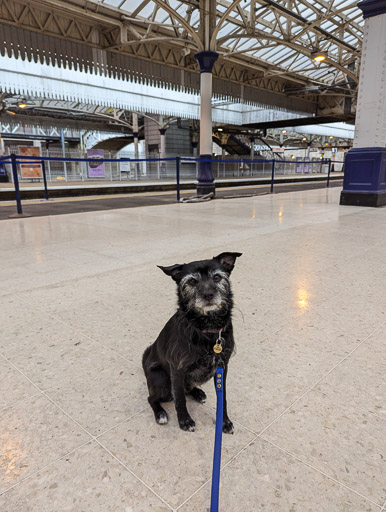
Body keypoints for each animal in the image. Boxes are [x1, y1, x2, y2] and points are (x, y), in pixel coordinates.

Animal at [142, 252, 241, 432]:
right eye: (192, 281)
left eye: (217, 277)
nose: (208, 295)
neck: (207, 328)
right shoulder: (177, 369)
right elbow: (180, 399)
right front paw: (185, 420)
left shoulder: (222, 367)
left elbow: (222, 398)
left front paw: (224, 421)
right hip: (162, 379)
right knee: (152, 398)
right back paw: (160, 413)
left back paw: (197, 393)